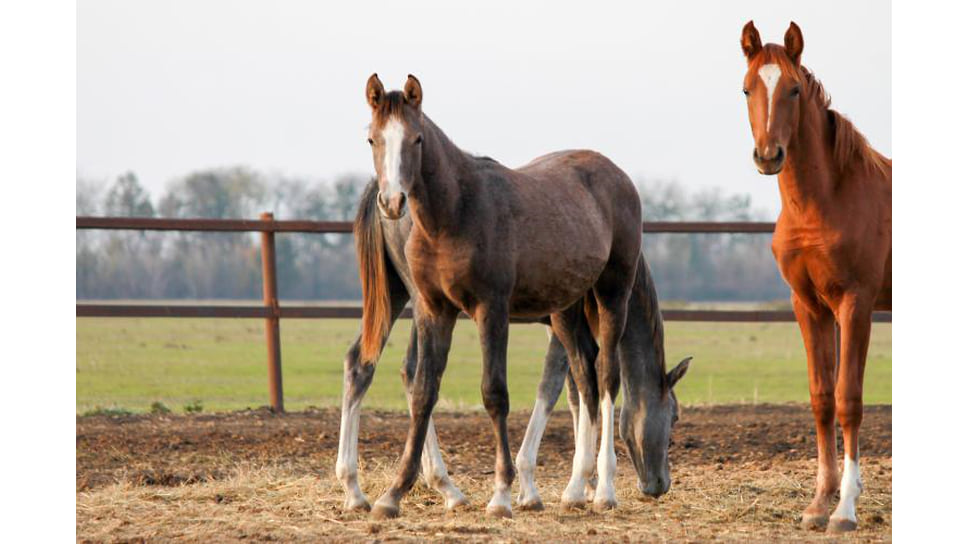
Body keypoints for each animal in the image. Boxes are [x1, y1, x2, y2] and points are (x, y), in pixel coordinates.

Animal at [360, 73, 648, 520]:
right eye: (372, 138)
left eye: (417, 139)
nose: (392, 203)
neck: (453, 214)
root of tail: (617, 175)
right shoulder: (433, 310)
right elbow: (423, 392)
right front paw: (393, 494)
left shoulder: (490, 310)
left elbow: (494, 394)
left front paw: (501, 495)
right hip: (569, 308)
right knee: (584, 378)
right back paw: (575, 489)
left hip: (612, 293)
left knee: (605, 377)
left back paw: (603, 490)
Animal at [740, 22, 892, 536]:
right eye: (747, 88)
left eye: (793, 88)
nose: (769, 156)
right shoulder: (808, 306)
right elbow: (822, 398)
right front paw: (819, 503)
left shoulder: (856, 304)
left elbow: (849, 399)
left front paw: (845, 510)